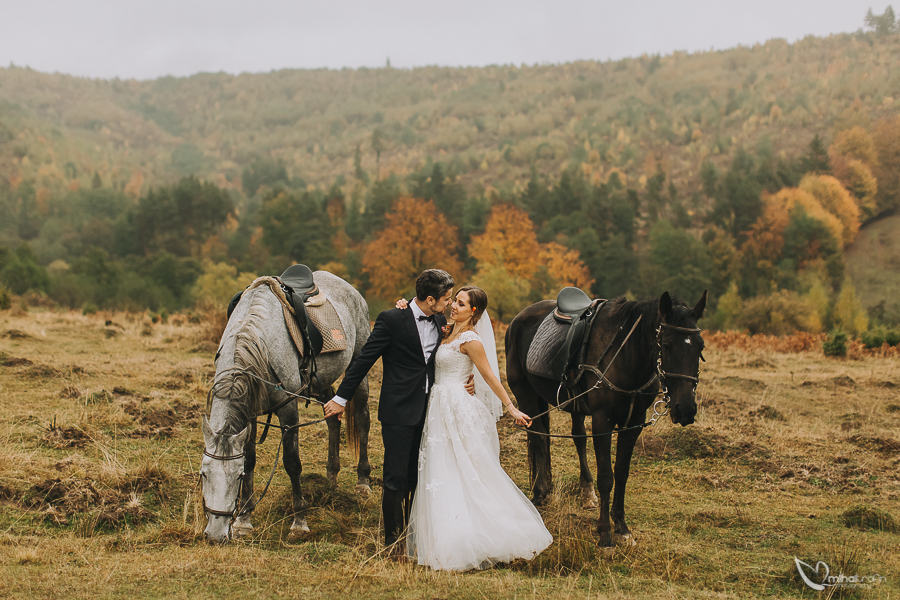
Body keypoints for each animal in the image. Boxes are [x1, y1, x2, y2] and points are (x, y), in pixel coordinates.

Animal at [202, 272, 370, 544]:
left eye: (236, 477)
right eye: (203, 474)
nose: (216, 535)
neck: (259, 344)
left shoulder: (288, 410)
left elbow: (292, 463)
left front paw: (299, 522)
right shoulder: (250, 413)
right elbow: (250, 458)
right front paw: (244, 520)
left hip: (359, 366)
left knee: (363, 418)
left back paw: (363, 482)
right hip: (322, 381)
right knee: (332, 419)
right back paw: (330, 479)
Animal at [506, 290, 704, 548]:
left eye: (700, 347)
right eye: (667, 345)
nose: (685, 409)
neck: (626, 356)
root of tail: (518, 318)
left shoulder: (633, 423)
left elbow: (621, 472)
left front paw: (621, 527)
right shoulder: (603, 421)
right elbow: (606, 477)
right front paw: (605, 534)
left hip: (574, 404)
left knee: (577, 438)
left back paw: (584, 492)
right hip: (525, 394)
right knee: (538, 438)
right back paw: (540, 492)